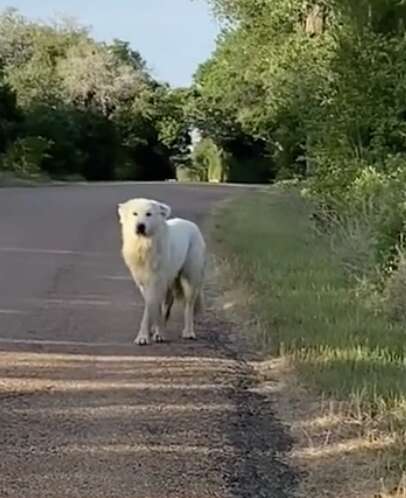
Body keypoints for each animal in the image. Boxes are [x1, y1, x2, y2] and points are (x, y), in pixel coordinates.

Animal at [117, 196, 206, 344]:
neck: (144, 246)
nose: (140, 226)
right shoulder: (144, 282)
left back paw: (188, 332)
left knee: (188, 306)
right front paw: (150, 332)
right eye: (135, 214)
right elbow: (152, 306)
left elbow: (151, 308)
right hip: (170, 282)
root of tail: (191, 224)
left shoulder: (156, 282)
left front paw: (147, 336)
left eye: (148, 214)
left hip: (190, 278)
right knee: (167, 304)